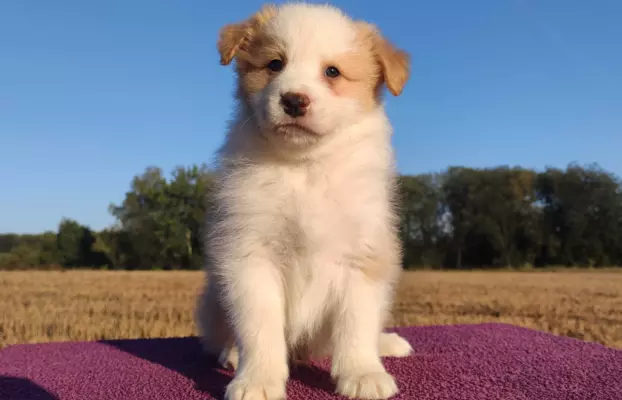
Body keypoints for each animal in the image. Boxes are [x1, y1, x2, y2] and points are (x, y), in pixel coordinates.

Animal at [197, 3, 414, 400]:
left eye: (332, 72)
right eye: (274, 64)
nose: (294, 100)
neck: (306, 168)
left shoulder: (363, 256)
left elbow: (356, 325)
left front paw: (363, 373)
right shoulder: (250, 256)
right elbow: (259, 327)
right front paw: (258, 380)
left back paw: (387, 344)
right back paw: (231, 354)